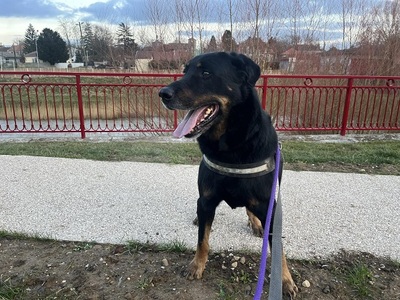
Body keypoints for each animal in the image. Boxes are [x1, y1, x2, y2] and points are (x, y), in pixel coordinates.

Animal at [159, 52, 296, 298]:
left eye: (206, 73)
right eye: (185, 71)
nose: (163, 94)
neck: (231, 146)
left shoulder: (270, 205)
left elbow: (278, 248)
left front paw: (285, 281)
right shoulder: (206, 200)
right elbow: (202, 239)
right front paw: (197, 265)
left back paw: (256, 223)